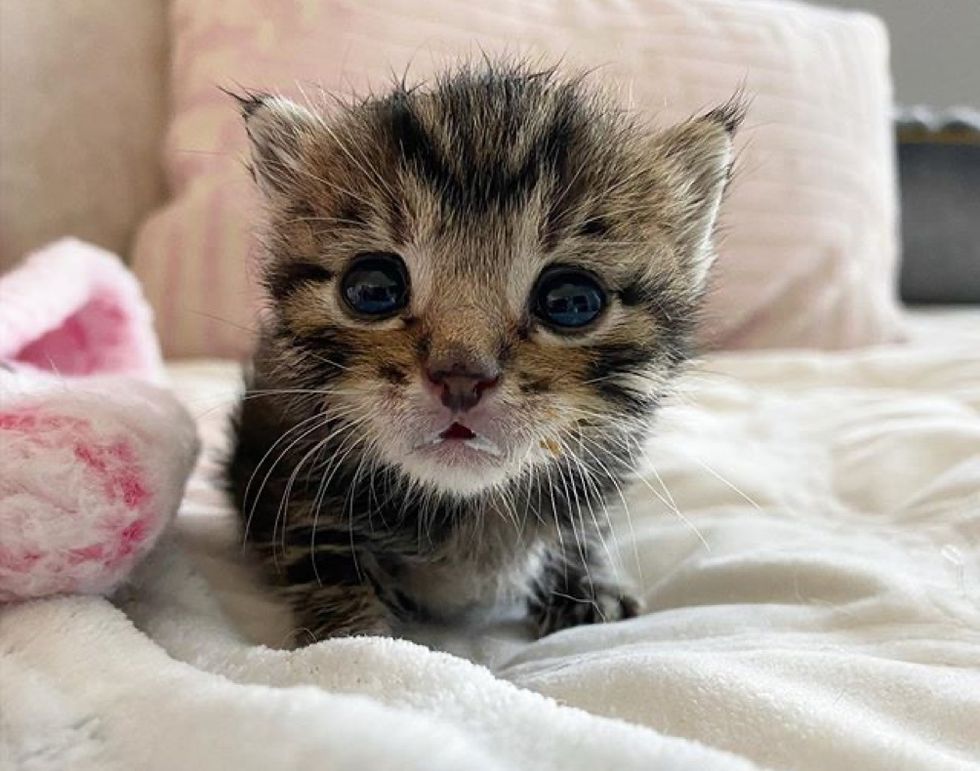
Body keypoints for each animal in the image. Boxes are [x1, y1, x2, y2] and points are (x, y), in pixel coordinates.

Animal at [224, 60, 744, 644]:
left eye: (571, 301)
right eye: (373, 289)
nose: (460, 378)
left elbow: (583, 526)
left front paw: (585, 582)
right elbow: (327, 559)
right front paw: (354, 635)